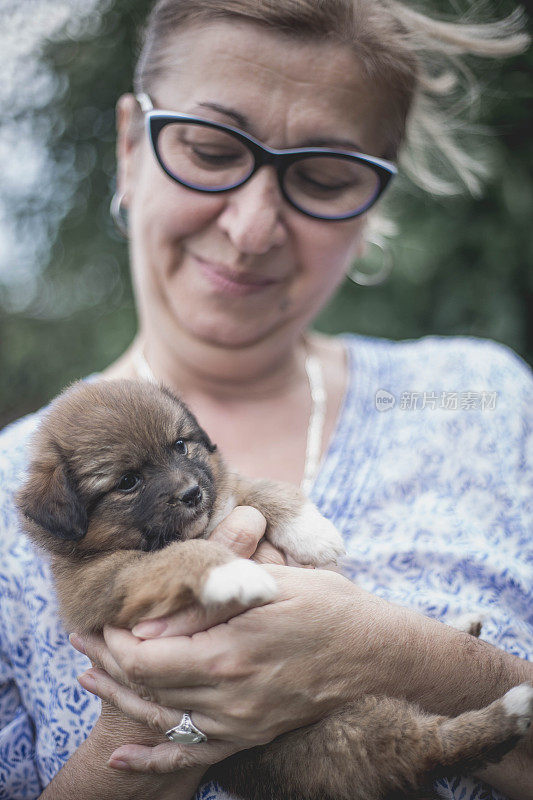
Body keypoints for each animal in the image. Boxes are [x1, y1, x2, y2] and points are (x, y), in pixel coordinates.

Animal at [16, 380, 532, 800]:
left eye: (180, 445)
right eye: (127, 481)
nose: (191, 494)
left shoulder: (229, 493)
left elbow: (262, 489)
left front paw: (313, 531)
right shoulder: (103, 581)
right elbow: (177, 557)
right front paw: (231, 573)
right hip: (346, 736)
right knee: (434, 747)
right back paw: (512, 708)